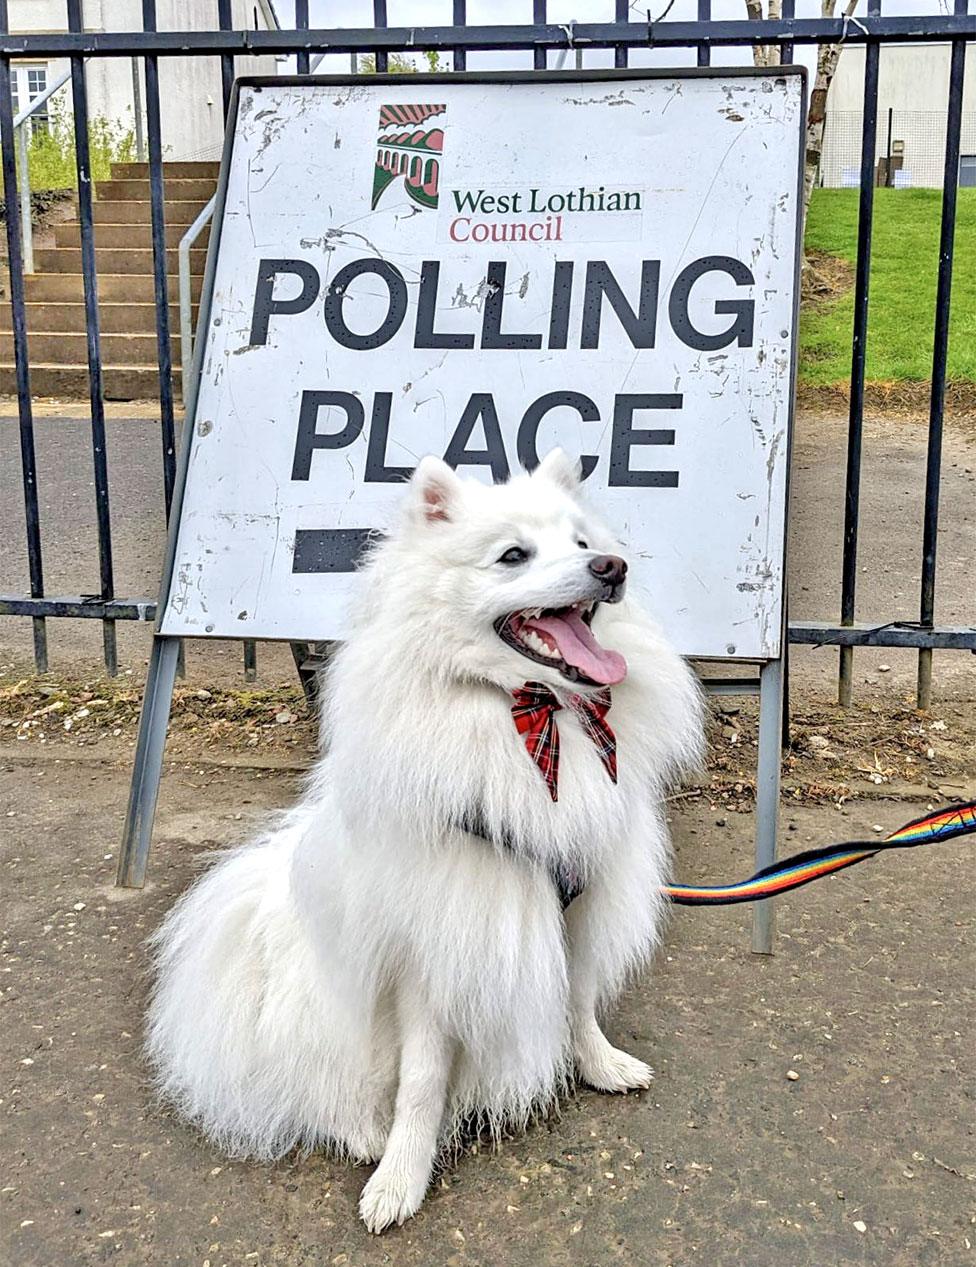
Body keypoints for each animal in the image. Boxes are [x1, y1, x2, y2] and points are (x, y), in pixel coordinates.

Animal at [146, 451, 699, 1231]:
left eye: (584, 543)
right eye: (513, 555)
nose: (612, 567)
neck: (531, 714)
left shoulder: (576, 907)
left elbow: (578, 999)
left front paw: (598, 1063)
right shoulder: (435, 944)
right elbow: (422, 1080)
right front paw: (401, 1178)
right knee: (325, 1088)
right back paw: (364, 1134)